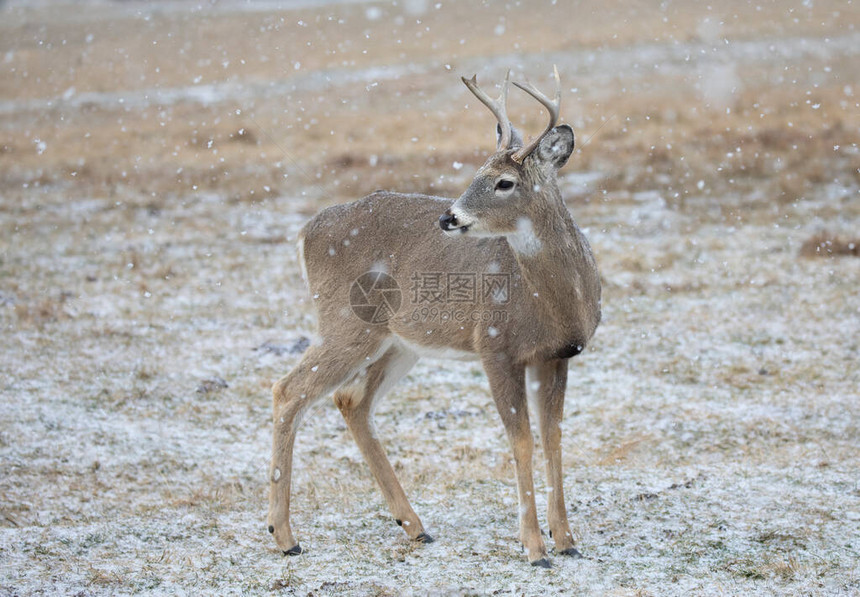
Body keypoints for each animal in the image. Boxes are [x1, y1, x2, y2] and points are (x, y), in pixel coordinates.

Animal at [268, 67, 596, 564]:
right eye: (477, 172)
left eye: (504, 182)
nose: (448, 218)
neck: (553, 302)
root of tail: (306, 231)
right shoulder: (495, 346)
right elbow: (520, 440)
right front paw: (534, 546)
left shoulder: (558, 354)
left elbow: (553, 438)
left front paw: (567, 541)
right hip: (347, 322)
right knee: (289, 391)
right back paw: (285, 535)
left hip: (398, 341)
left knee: (351, 400)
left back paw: (414, 527)